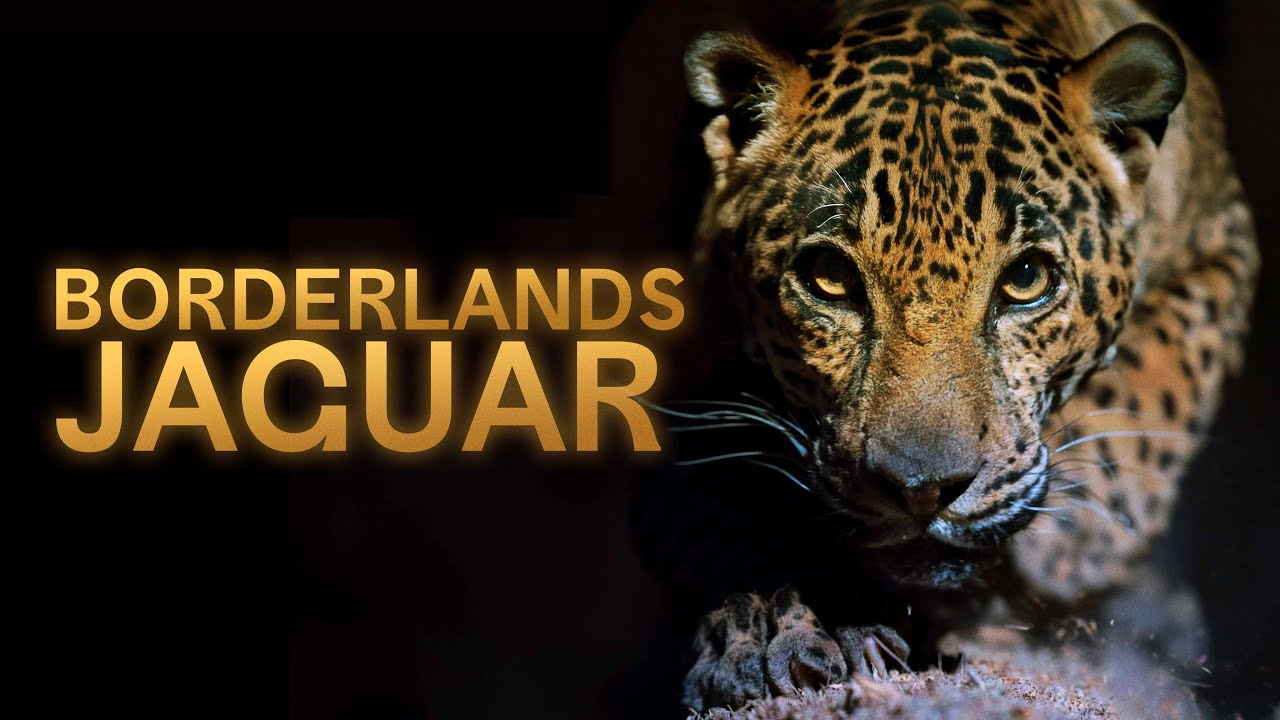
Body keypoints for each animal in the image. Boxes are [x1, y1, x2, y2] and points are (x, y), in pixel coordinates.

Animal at [646, 0, 1259, 711]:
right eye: (830, 277)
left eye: (1026, 279)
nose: (923, 490)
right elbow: (728, 517)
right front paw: (773, 627)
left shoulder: (1225, 241)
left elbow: (1155, 381)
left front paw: (1072, 540)